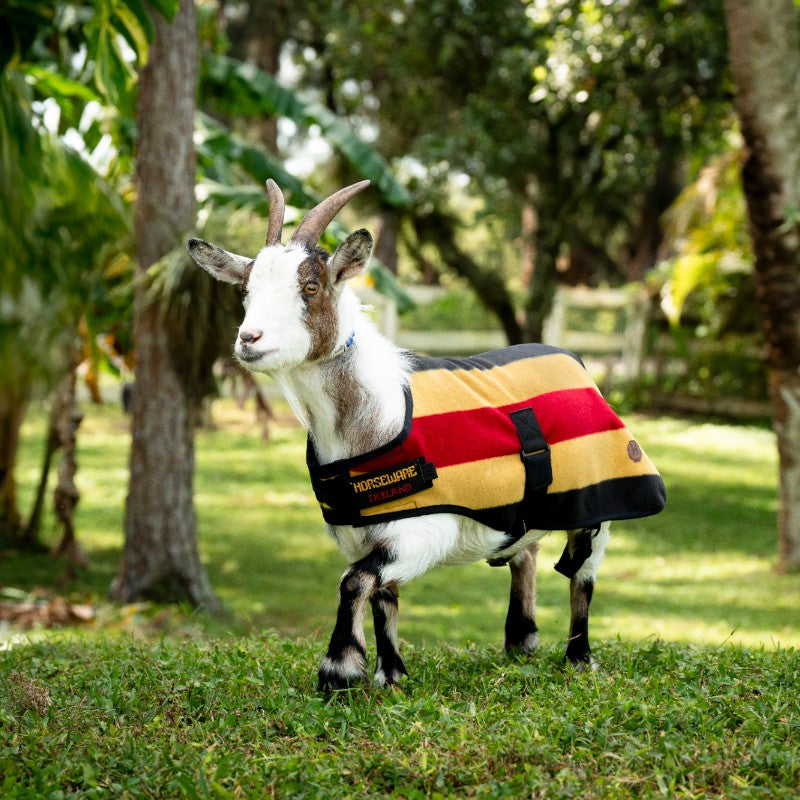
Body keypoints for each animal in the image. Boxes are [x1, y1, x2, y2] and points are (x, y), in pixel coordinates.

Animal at [187, 180, 666, 691]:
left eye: (310, 286)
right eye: (245, 290)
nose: (249, 340)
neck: (378, 416)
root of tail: (573, 360)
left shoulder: (425, 530)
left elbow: (353, 581)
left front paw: (339, 670)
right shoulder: (365, 535)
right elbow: (383, 594)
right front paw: (390, 673)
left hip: (600, 499)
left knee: (584, 574)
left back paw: (578, 657)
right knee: (526, 553)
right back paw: (521, 642)